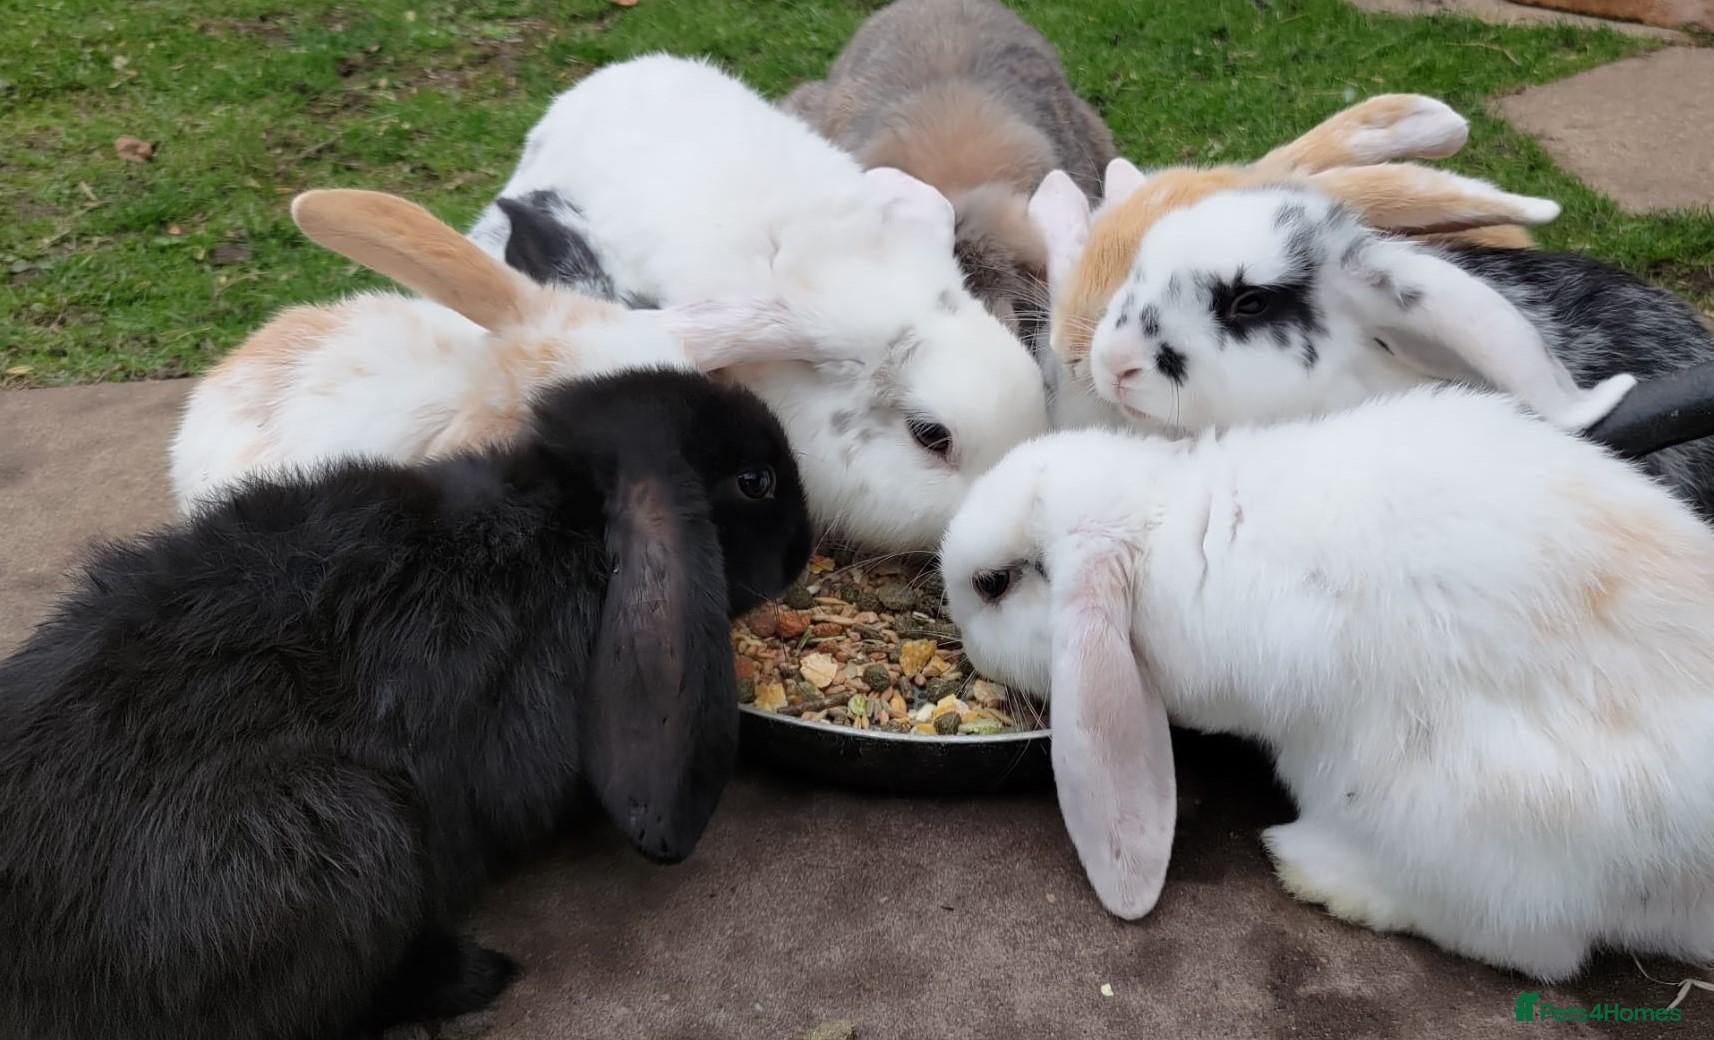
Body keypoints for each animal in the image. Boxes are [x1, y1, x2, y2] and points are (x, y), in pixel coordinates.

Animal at [939, 384, 1714, 981]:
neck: (1172, 527)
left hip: (1465, 811)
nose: (959, 628)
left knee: (1534, 944)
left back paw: (1319, 870)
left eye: (992, 583)